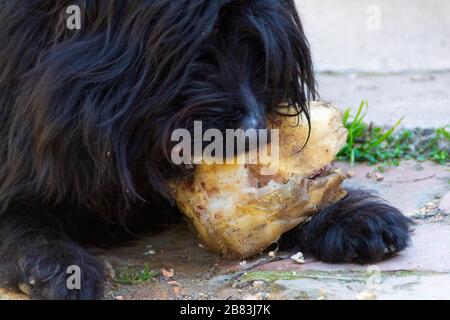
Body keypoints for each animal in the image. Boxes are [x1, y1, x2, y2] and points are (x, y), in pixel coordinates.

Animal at [0, 0, 412, 300]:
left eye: (256, 50)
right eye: (198, 49)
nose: (255, 132)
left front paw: (347, 213)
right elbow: (24, 218)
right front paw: (57, 265)